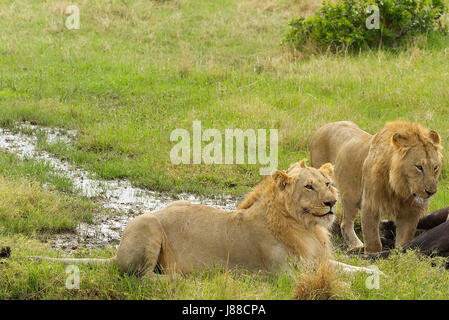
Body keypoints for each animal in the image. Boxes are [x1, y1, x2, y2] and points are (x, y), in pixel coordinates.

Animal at [29, 160, 376, 276]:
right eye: (308, 186)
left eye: (328, 184)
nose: (332, 203)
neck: (309, 228)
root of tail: (115, 255)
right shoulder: (286, 274)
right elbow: (341, 277)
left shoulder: (318, 261)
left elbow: (347, 267)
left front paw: (375, 273)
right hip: (146, 224)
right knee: (141, 277)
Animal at [310, 121, 440, 254]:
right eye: (419, 167)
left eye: (435, 167)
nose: (431, 192)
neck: (399, 188)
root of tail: (323, 127)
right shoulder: (370, 204)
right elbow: (373, 240)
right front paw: (372, 255)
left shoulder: (410, 212)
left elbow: (404, 241)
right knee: (344, 223)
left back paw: (356, 246)